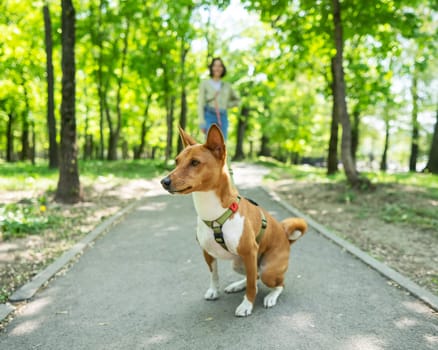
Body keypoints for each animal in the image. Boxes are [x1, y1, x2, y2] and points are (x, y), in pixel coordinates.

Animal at [161, 125, 308, 318]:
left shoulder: (250, 252)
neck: (214, 214)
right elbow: (214, 275)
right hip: (239, 264)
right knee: (254, 275)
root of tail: (285, 235)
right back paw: (237, 285)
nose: (164, 181)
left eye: (195, 162)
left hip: (268, 269)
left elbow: (252, 286)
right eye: (176, 161)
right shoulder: (207, 252)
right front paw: (214, 291)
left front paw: (247, 305)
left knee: (276, 283)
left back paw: (271, 297)